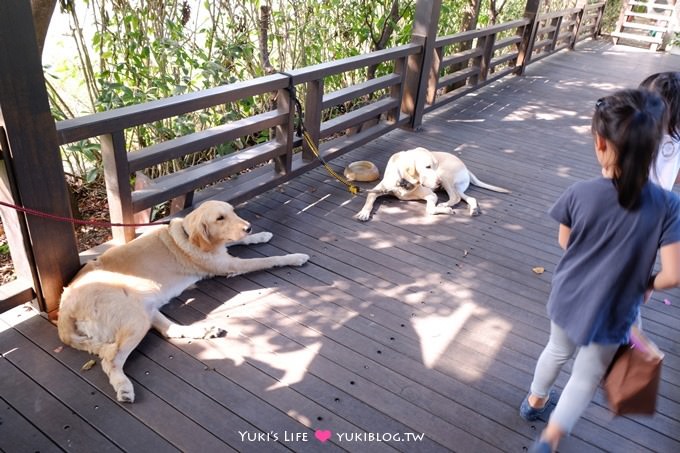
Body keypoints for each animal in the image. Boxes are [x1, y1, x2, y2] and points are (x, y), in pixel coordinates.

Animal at [58, 200, 308, 400]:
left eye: (232, 212)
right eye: (220, 218)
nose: (249, 226)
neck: (189, 236)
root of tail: (64, 306)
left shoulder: (221, 251)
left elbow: (236, 242)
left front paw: (259, 235)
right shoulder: (229, 264)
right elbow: (267, 260)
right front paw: (294, 257)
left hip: (145, 308)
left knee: (171, 331)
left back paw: (205, 331)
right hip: (134, 316)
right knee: (110, 359)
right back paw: (123, 386)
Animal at [356, 147, 510, 220]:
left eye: (435, 165)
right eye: (428, 167)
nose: (438, 182)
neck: (404, 182)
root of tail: (466, 168)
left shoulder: (431, 195)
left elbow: (430, 209)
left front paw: (444, 210)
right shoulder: (378, 189)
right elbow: (370, 197)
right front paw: (363, 213)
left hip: (446, 176)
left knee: (455, 197)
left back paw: (445, 205)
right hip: (456, 186)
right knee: (469, 198)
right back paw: (473, 209)